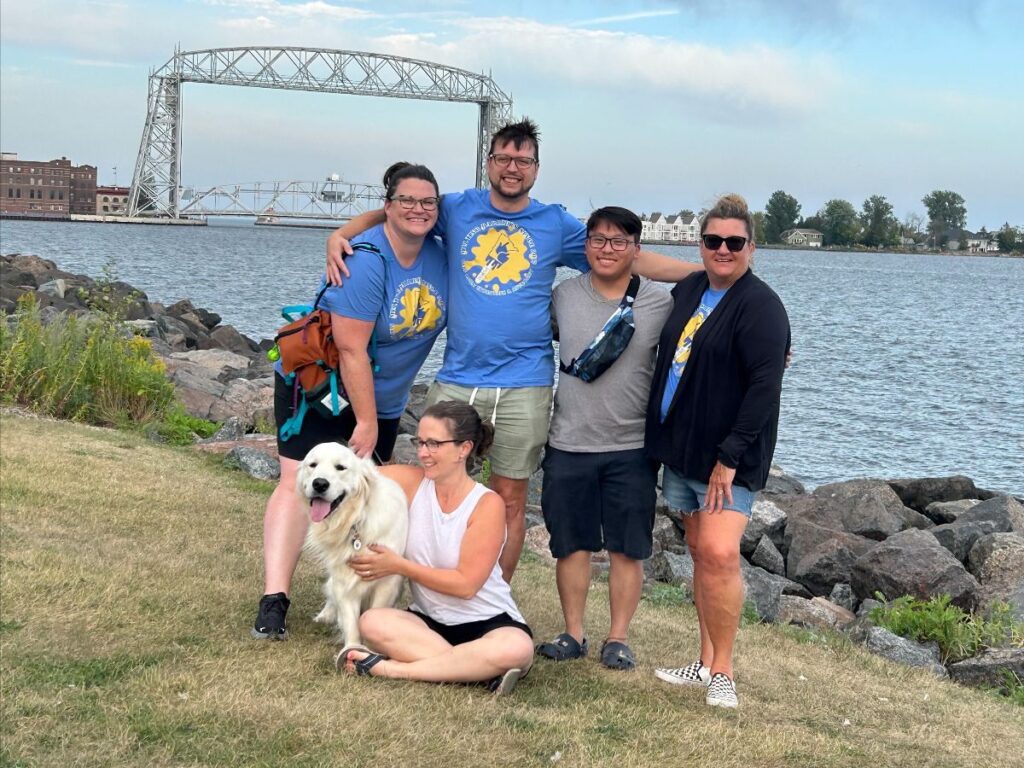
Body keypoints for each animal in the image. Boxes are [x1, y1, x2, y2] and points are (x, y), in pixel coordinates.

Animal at [296, 442, 407, 647]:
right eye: (312, 465)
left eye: (341, 467)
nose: (319, 484)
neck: (354, 521)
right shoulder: (343, 579)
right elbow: (351, 622)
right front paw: (353, 648)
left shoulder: (387, 581)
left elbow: (375, 614)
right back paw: (325, 615)